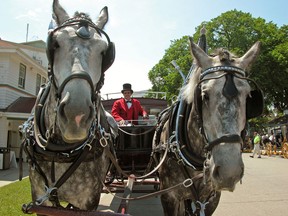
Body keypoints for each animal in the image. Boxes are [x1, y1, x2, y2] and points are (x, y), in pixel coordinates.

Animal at [19, 0, 116, 213]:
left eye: (104, 52)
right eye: (55, 43)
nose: (76, 115)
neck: (60, 151)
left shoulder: (87, 202)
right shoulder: (40, 198)